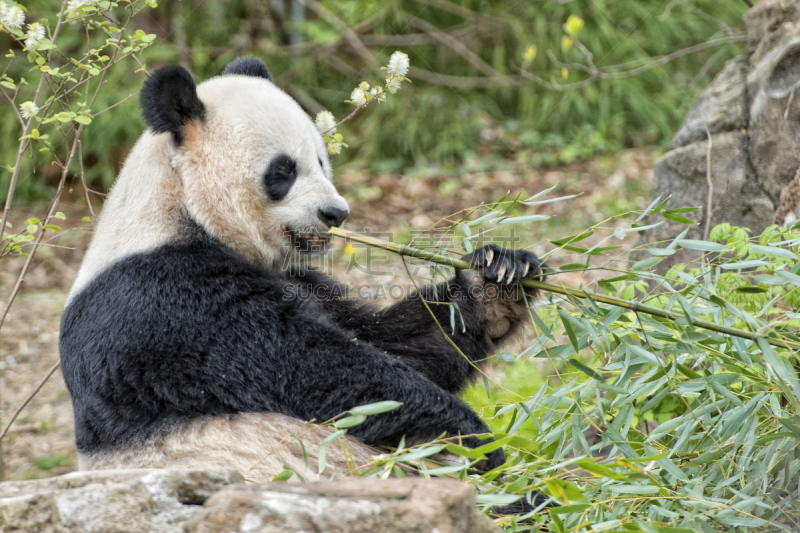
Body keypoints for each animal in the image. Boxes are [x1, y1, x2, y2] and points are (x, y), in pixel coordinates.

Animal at [62, 56, 548, 480]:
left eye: (321, 160)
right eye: (283, 170)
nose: (336, 213)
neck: (179, 206)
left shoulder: (299, 278)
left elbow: (394, 343)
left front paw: (498, 277)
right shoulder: (168, 301)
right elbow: (317, 371)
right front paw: (473, 439)